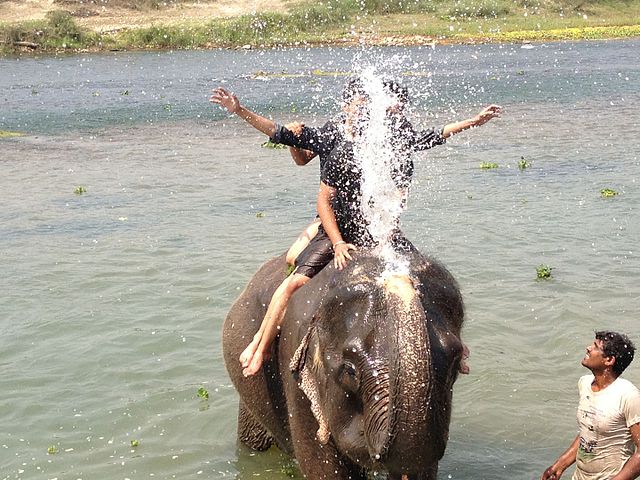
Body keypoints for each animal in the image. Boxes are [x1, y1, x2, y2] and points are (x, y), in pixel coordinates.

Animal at [224, 244, 464, 480]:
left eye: (455, 363)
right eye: (349, 370)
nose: (402, 279)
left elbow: (419, 467)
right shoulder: (295, 374)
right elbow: (323, 467)